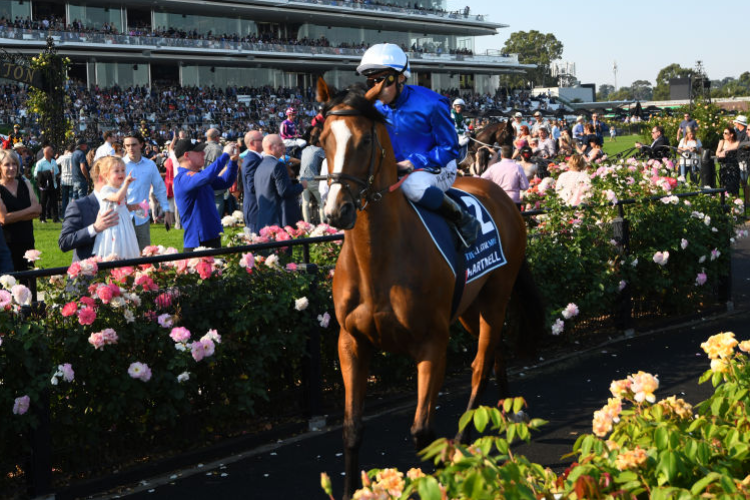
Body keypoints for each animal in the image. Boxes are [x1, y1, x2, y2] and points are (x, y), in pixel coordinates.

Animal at [318, 78, 548, 500]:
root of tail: (499, 194)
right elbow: (352, 428)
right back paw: (504, 411)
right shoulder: (351, 342)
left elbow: (423, 432)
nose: (336, 210)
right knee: (493, 352)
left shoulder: (432, 343)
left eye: (365, 140)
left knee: (480, 365)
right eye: (323, 138)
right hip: (470, 308)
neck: (378, 262)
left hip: (495, 296)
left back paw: (473, 433)